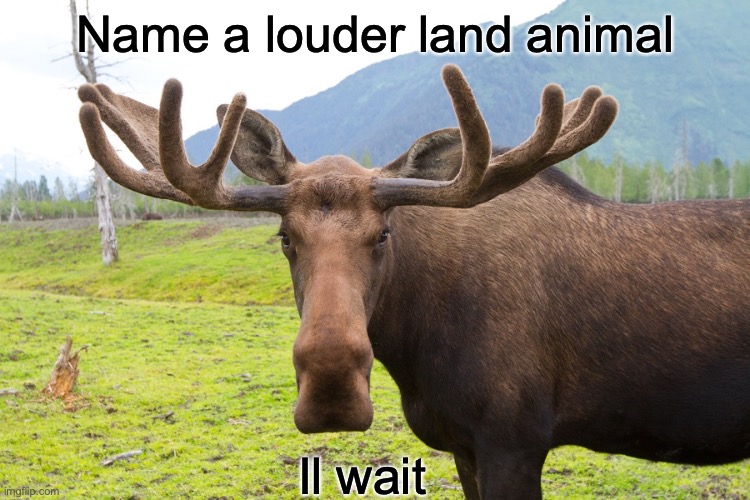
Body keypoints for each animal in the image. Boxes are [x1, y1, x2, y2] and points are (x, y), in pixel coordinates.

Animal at [77, 65, 750, 498]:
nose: (331, 388)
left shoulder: (515, 439)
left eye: (383, 235)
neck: (417, 348)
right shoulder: (465, 445)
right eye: (285, 237)